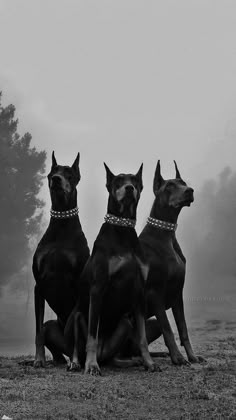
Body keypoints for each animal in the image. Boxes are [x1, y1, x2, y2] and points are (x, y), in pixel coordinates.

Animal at [31, 152, 89, 368]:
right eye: (52, 173)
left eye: (69, 174)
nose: (56, 179)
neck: (61, 224)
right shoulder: (38, 285)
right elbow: (38, 330)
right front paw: (38, 359)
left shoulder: (78, 284)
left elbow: (76, 330)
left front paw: (75, 362)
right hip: (52, 326)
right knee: (52, 341)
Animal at [68, 163, 159, 374]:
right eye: (118, 181)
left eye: (134, 181)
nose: (129, 188)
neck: (123, 229)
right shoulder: (97, 289)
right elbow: (92, 336)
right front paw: (91, 366)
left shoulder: (139, 292)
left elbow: (142, 337)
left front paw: (149, 362)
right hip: (77, 315)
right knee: (77, 346)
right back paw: (77, 363)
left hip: (125, 320)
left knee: (113, 357)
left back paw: (130, 361)